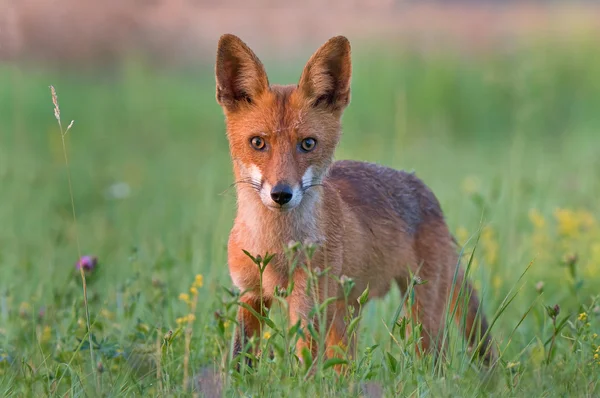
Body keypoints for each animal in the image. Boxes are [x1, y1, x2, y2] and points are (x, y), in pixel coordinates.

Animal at [213, 32, 494, 368]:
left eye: (308, 144)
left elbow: (304, 367)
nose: (281, 194)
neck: (275, 247)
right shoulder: (249, 295)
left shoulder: (308, 302)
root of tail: (420, 185)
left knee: (434, 361)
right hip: (346, 315)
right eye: (258, 142)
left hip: (421, 312)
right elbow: (239, 360)